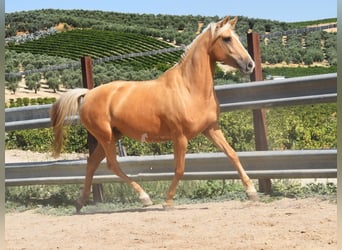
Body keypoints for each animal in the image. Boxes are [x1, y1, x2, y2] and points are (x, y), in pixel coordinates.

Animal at [51, 15, 256, 212]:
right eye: (227, 38)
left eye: (237, 37)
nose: (250, 65)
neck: (189, 89)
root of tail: (88, 94)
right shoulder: (180, 137)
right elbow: (180, 169)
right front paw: (168, 201)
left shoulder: (211, 128)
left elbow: (232, 154)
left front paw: (251, 192)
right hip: (106, 137)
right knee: (111, 164)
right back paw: (144, 198)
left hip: (112, 136)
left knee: (92, 163)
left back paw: (80, 203)